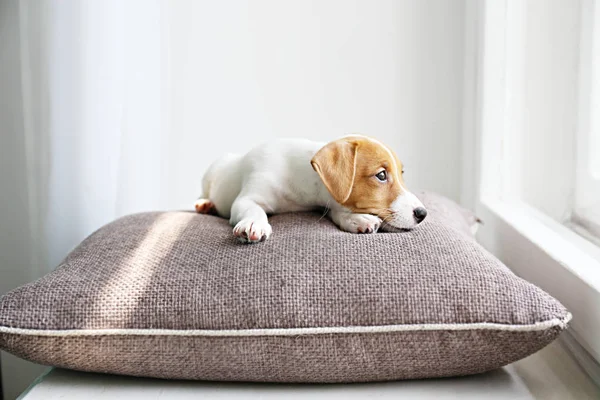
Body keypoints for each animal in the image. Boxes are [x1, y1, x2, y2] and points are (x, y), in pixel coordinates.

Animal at [195, 134, 424, 242]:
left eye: (402, 173)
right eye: (381, 175)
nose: (423, 213)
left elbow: (336, 210)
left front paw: (357, 219)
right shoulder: (248, 197)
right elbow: (253, 209)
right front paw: (254, 223)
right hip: (210, 174)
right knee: (203, 192)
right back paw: (205, 204)